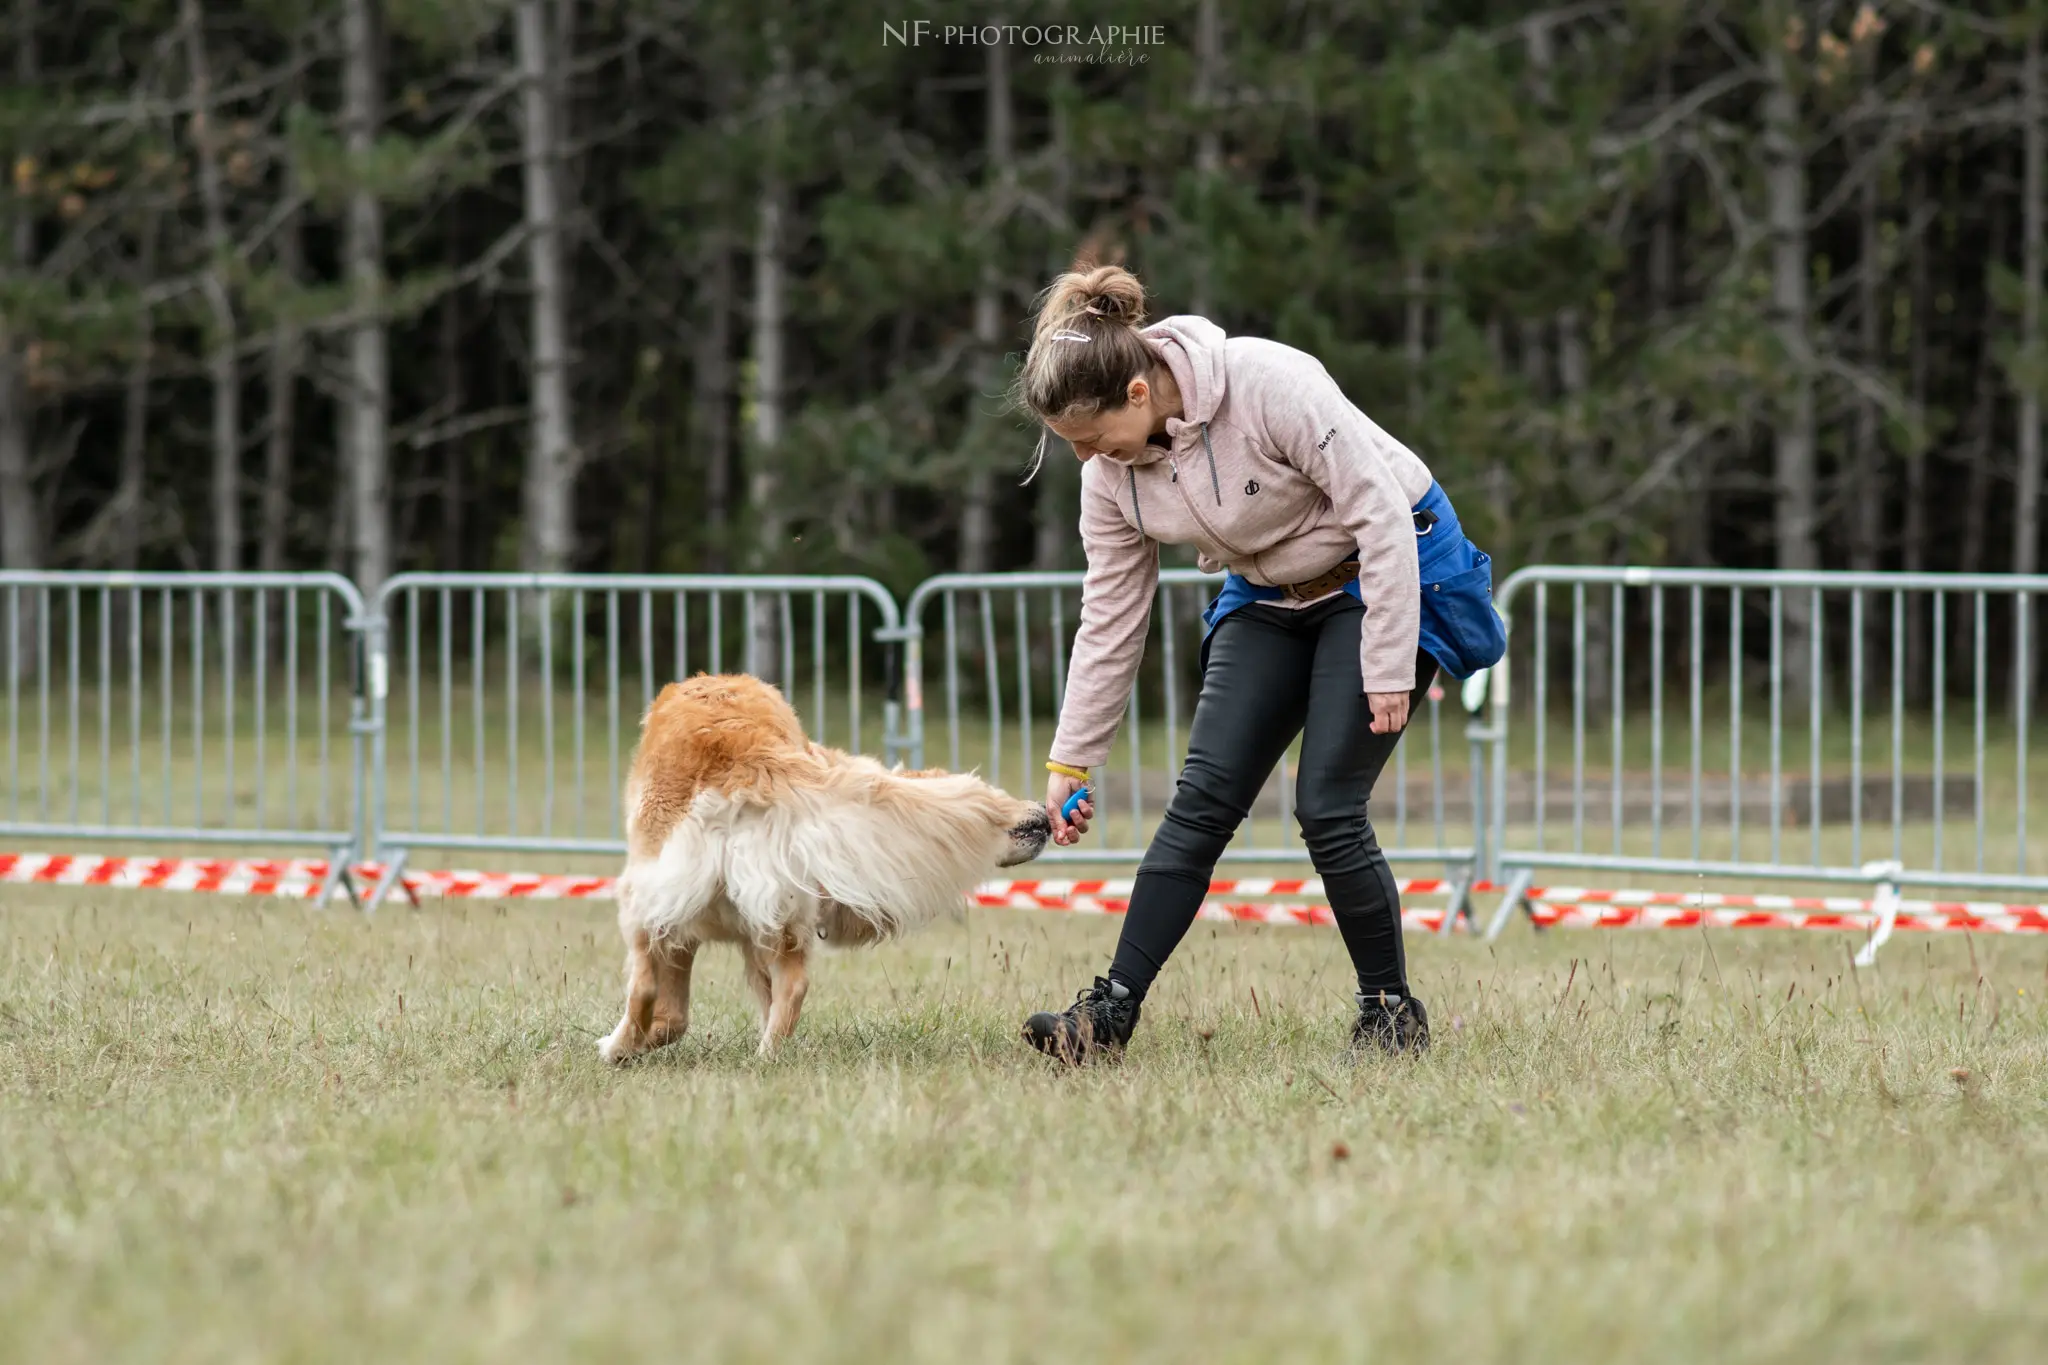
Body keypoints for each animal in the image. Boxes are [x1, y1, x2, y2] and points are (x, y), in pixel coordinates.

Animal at [589, 675, 1040, 1064]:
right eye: (1000, 793)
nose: (1041, 813)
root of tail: (746, 751)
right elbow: (681, 1017)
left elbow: (667, 1005)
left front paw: (631, 1047)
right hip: (781, 912)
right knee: (792, 987)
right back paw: (767, 1057)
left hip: (642, 896)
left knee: (643, 983)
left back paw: (615, 1047)